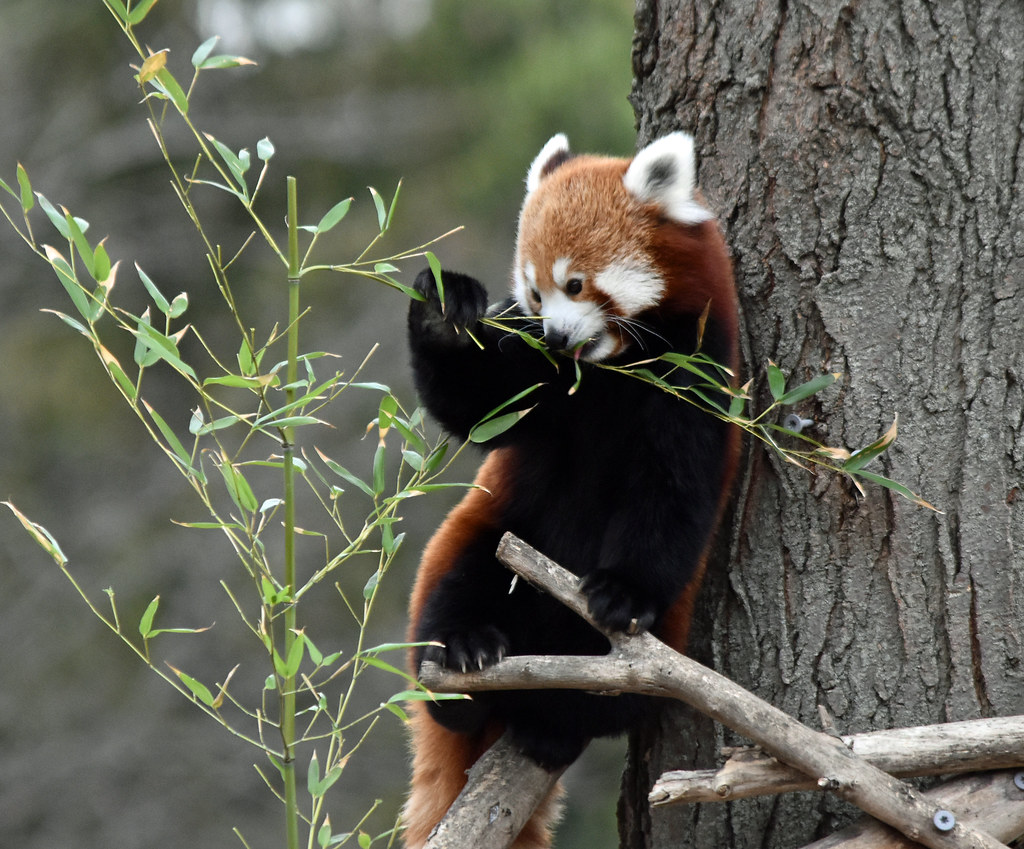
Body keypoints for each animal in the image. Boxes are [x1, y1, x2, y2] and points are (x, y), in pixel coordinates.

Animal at [402, 133, 740, 848]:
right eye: (533, 291)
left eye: (576, 283)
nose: (557, 335)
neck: (606, 372)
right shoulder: (532, 370)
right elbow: (476, 405)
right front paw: (445, 312)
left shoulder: (699, 377)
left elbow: (673, 494)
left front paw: (620, 595)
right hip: (487, 534)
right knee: (452, 595)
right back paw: (464, 659)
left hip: (665, 636)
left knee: (606, 695)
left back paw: (553, 719)